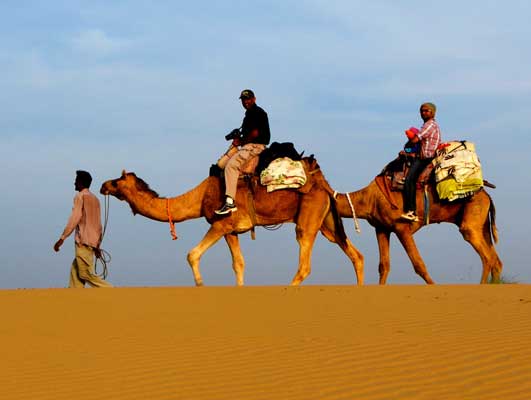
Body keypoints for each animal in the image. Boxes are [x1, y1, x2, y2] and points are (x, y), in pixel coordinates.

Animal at [98, 158, 366, 286]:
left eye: (117, 181)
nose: (103, 185)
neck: (199, 197)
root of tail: (324, 185)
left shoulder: (221, 224)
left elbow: (192, 254)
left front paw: (200, 284)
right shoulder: (232, 231)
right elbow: (239, 264)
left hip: (308, 217)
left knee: (305, 261)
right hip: (327, 221)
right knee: (355, 254)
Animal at [332, 175, 502, 284]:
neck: (368, 199)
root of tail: (487, 196)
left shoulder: (401, 227)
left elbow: (419, 265)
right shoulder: (381, 228)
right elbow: (384, 266)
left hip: (472, 217)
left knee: (487, 257)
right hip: (482, 224)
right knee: (496, 261)